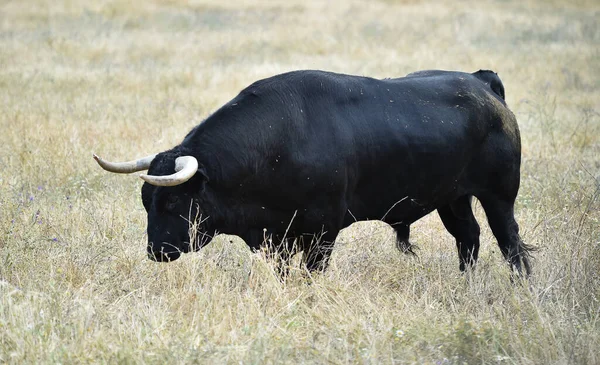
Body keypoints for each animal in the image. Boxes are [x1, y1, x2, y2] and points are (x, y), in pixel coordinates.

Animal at [95, 68, 536, 274]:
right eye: (145, 202)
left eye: (173, 202)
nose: (156, 252)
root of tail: (481, 84)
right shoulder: (277, 236)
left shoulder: (323, 229)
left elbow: (310, 273)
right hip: (452, 199)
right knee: (468, 238)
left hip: (499, 196)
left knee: (509, 242)